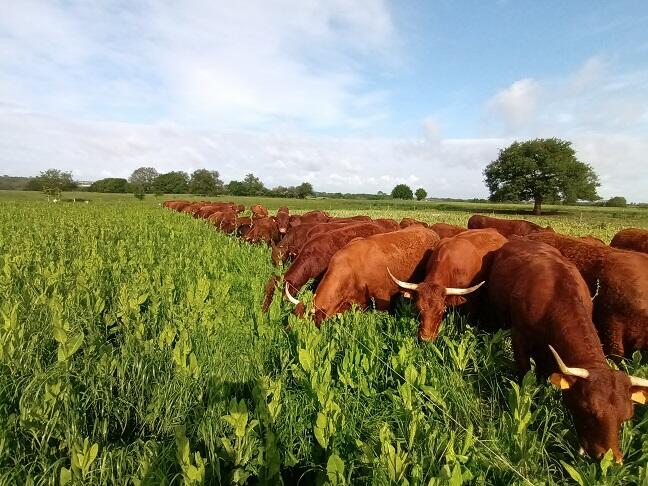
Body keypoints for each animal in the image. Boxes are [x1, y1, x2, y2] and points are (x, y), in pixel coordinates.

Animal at [486, 239, 648, 462]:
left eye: (626, 417)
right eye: (588, 410)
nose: (610, 459)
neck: (554, 296)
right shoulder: (519, 338)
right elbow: (525, 377)